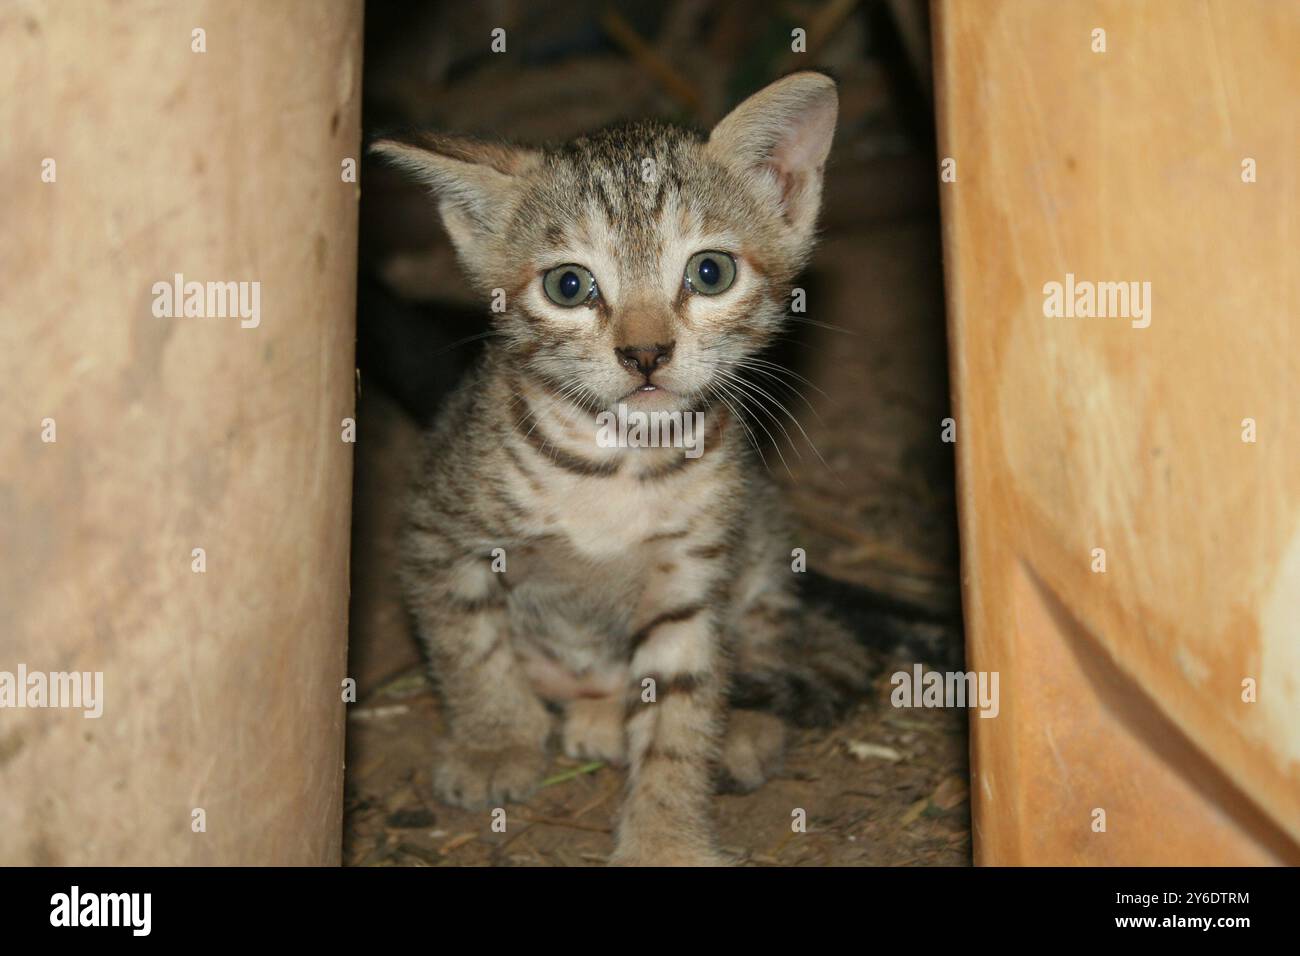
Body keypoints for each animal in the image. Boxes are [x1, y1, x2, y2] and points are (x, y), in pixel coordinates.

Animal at [371, 72, 868, 868]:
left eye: (710, 272)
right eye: (569, 287)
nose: (645, 353)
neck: (616, 462)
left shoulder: (691, 574)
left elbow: (681, 710)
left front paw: (665, 835)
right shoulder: (437, 534)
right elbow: (469, 647)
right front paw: (494, 742)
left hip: (762, 549)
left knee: (764, 645)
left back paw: (739, 731)